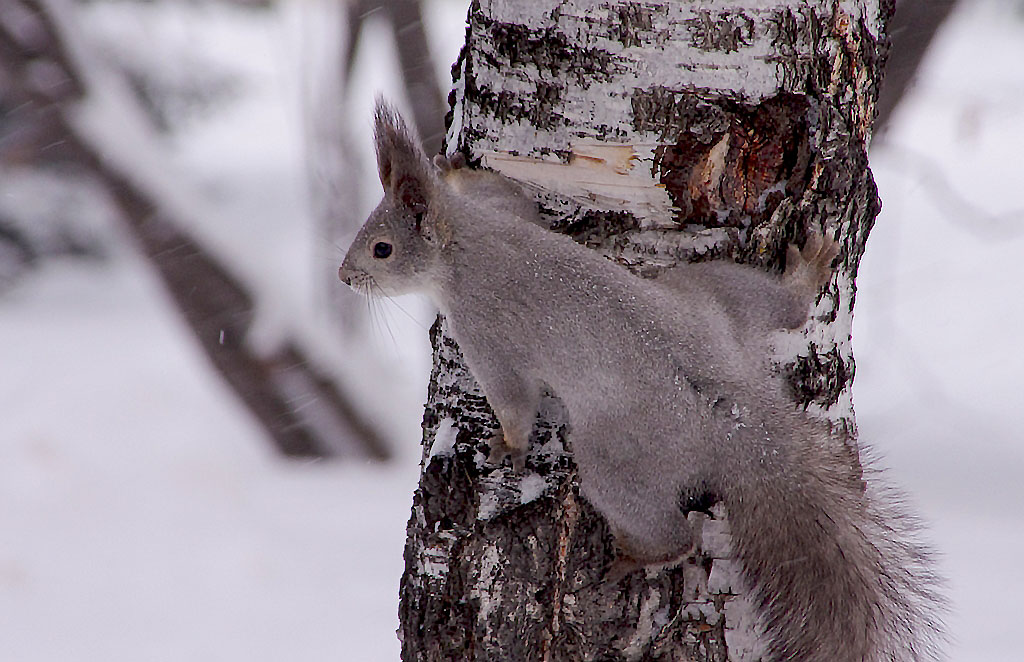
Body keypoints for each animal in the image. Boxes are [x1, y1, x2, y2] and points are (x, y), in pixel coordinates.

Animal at [342, 103, 942, 662]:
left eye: (381, 249)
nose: (345, 277)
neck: (465, 244)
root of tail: (737, 418)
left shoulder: (487, 334)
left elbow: (514, 400)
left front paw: (507, 445)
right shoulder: (506, 214)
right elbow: (514, 198)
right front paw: (456, 170)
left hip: (617, 458)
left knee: (675, 536)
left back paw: (638, 554)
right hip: (712, 294)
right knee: (785, 307)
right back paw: (807, 273)